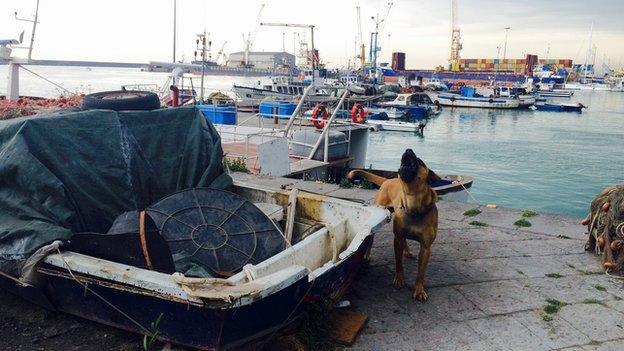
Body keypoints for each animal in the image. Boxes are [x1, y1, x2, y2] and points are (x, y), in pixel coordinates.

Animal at [348, 150, 442, 302]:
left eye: (420, 161)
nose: (408, 149)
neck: (413, 204)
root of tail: (387, 180)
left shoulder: (426, 247)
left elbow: (421, 273)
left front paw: (419, 289)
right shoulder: (397, 239)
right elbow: (399, 262)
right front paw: (399, 279)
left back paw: (407, 251)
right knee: (370, 241)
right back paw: (367, 256)